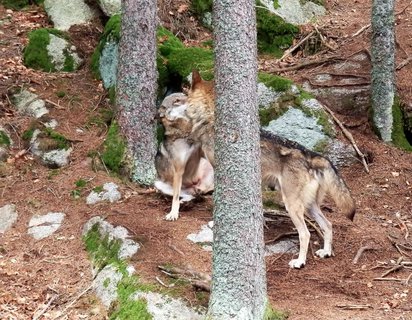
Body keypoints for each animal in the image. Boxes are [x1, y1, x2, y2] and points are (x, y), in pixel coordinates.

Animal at [154, 72, 354, 268]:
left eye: (180, 99)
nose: (160, 112)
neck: (209, 118)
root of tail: (311, 154)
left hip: (292, 205)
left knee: (306, 234)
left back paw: (299, 262)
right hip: (310, 206)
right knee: (328, 225)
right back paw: (326, 252)